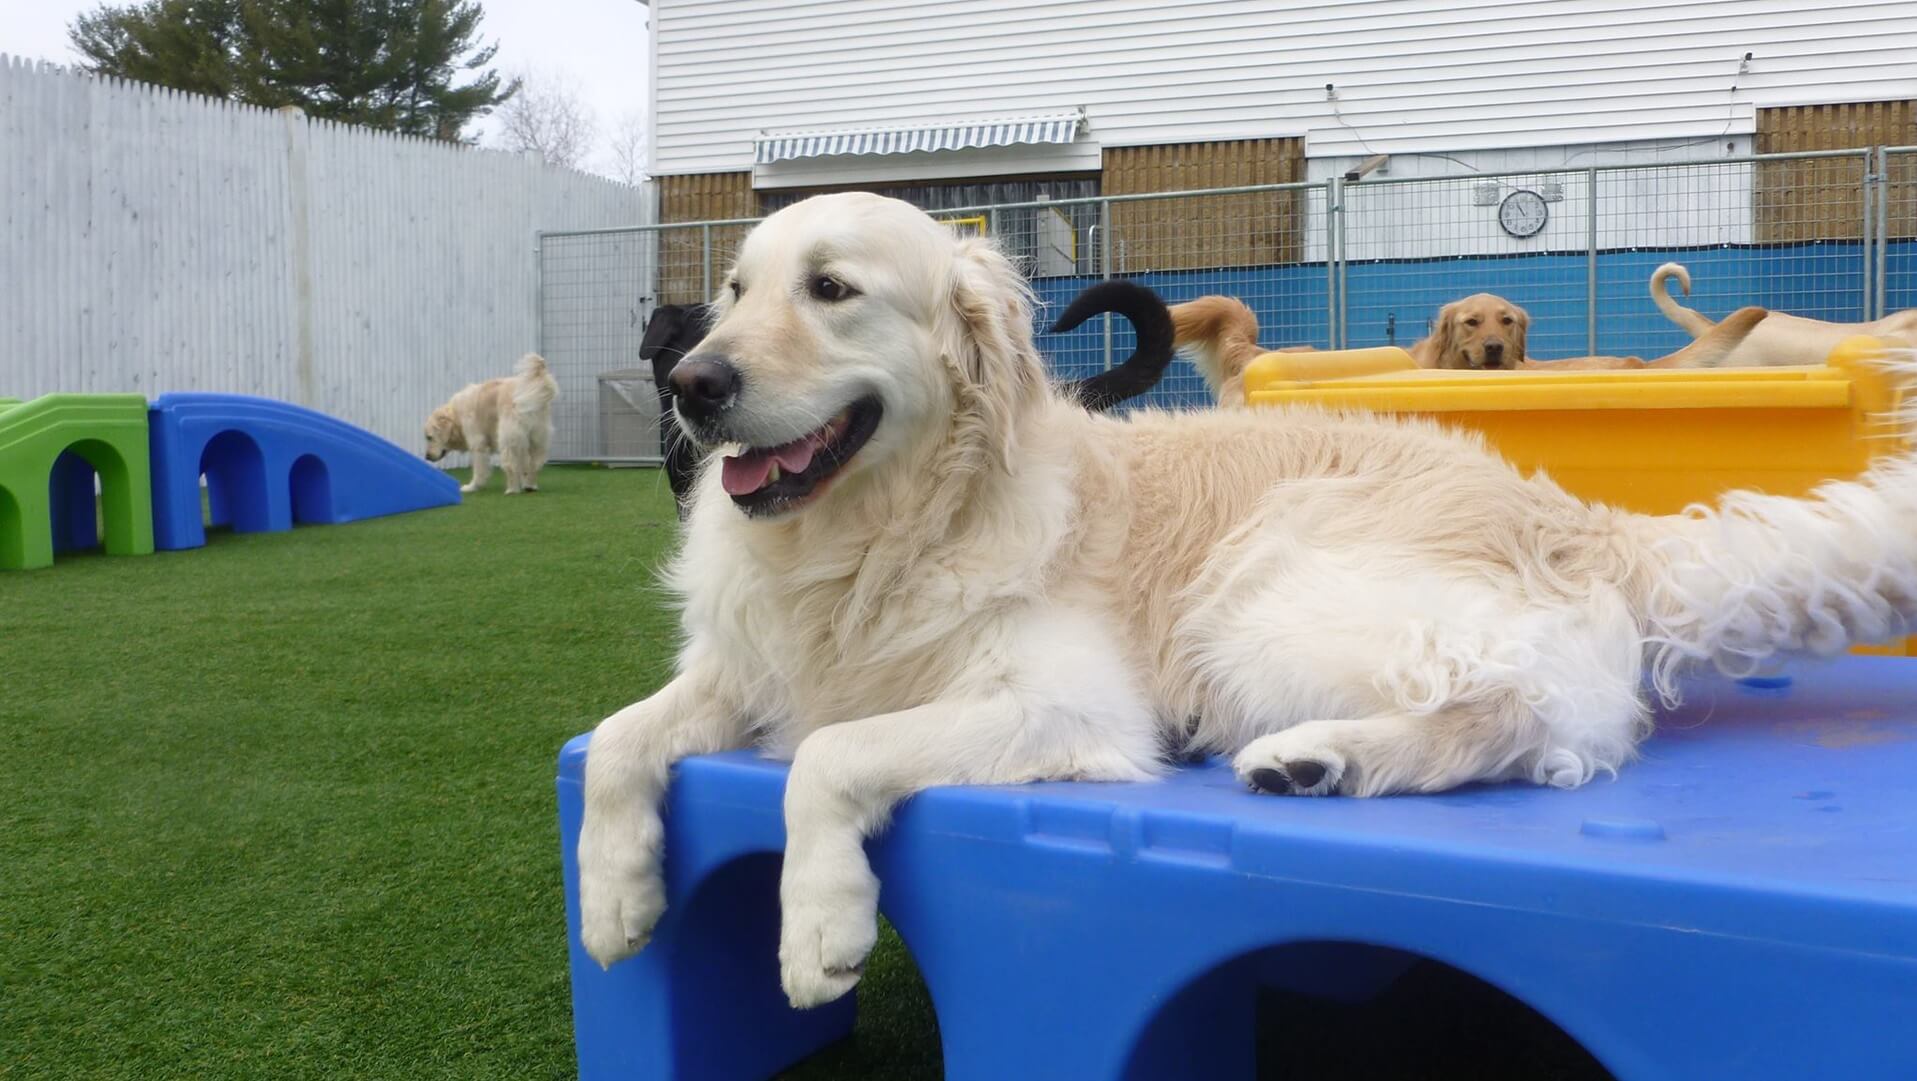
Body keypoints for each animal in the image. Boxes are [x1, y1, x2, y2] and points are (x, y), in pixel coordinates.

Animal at [423, 354, 559, 494]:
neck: (456, 415)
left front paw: (472, 487)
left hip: (507, 439)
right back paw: (530, 486)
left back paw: (512, 490)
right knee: (534, 464)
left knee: (511, 465)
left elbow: (479, 470)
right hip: (536, 438)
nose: (426, 457)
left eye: (429, 437)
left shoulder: (478, 444)